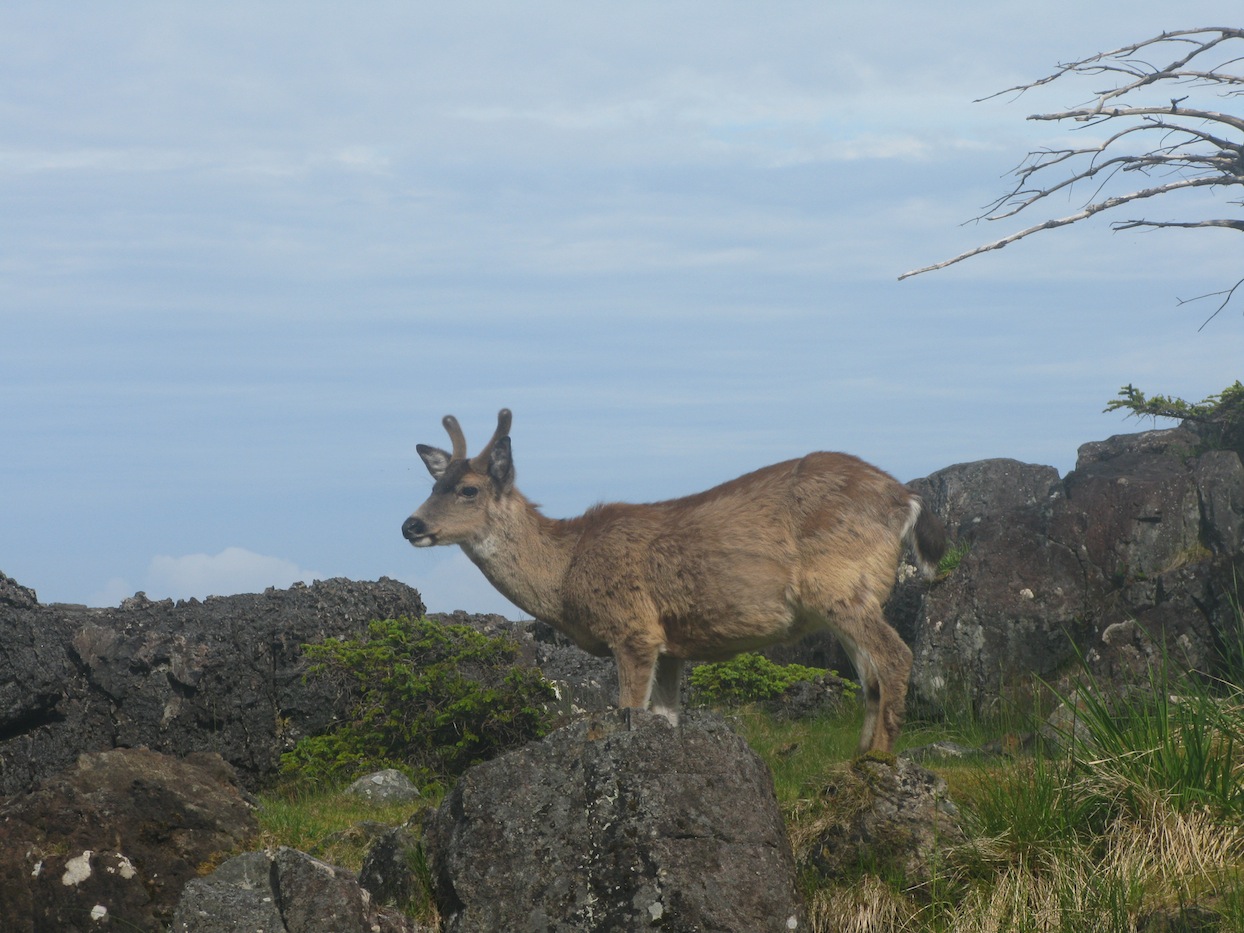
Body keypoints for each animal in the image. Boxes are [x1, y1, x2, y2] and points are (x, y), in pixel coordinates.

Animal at [403, 413, 945, 756]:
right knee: (870, 675)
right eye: (432, 486)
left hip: (840, 583)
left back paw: (879, 761)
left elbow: (629, 710)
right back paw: (858, 757)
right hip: (849, 597)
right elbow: (666, 717)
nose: (410, 525)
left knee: (895, 656)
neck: (566, 571)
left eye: (468, 490)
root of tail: (905, 497)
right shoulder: (673, 646)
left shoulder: (634, 628)